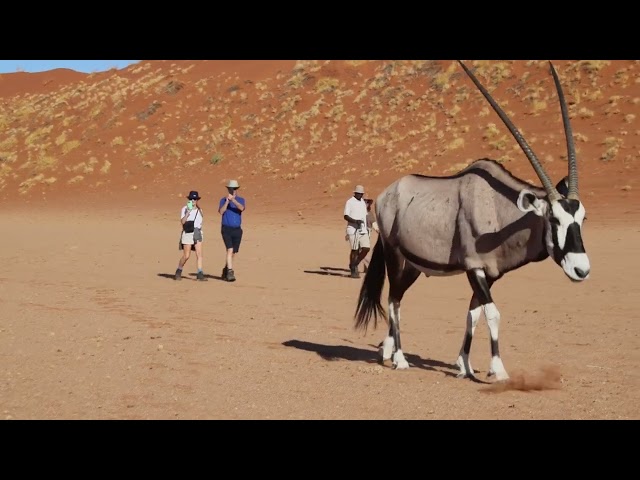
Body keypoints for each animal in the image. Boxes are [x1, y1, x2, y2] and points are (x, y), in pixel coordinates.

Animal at [356, 61, 592, 382]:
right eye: (553, 219)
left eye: (581, 217)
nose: (581, 270)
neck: (498, 209)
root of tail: (385, 195)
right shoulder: (474, 268)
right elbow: (492, 313)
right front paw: (498, 369)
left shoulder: (491, 274)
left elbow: (474, 313)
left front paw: (464, 365)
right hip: (394, 255)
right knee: (394, 300)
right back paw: (401, 358)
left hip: (414, 266)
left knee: (398, 296)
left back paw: (387, 351)